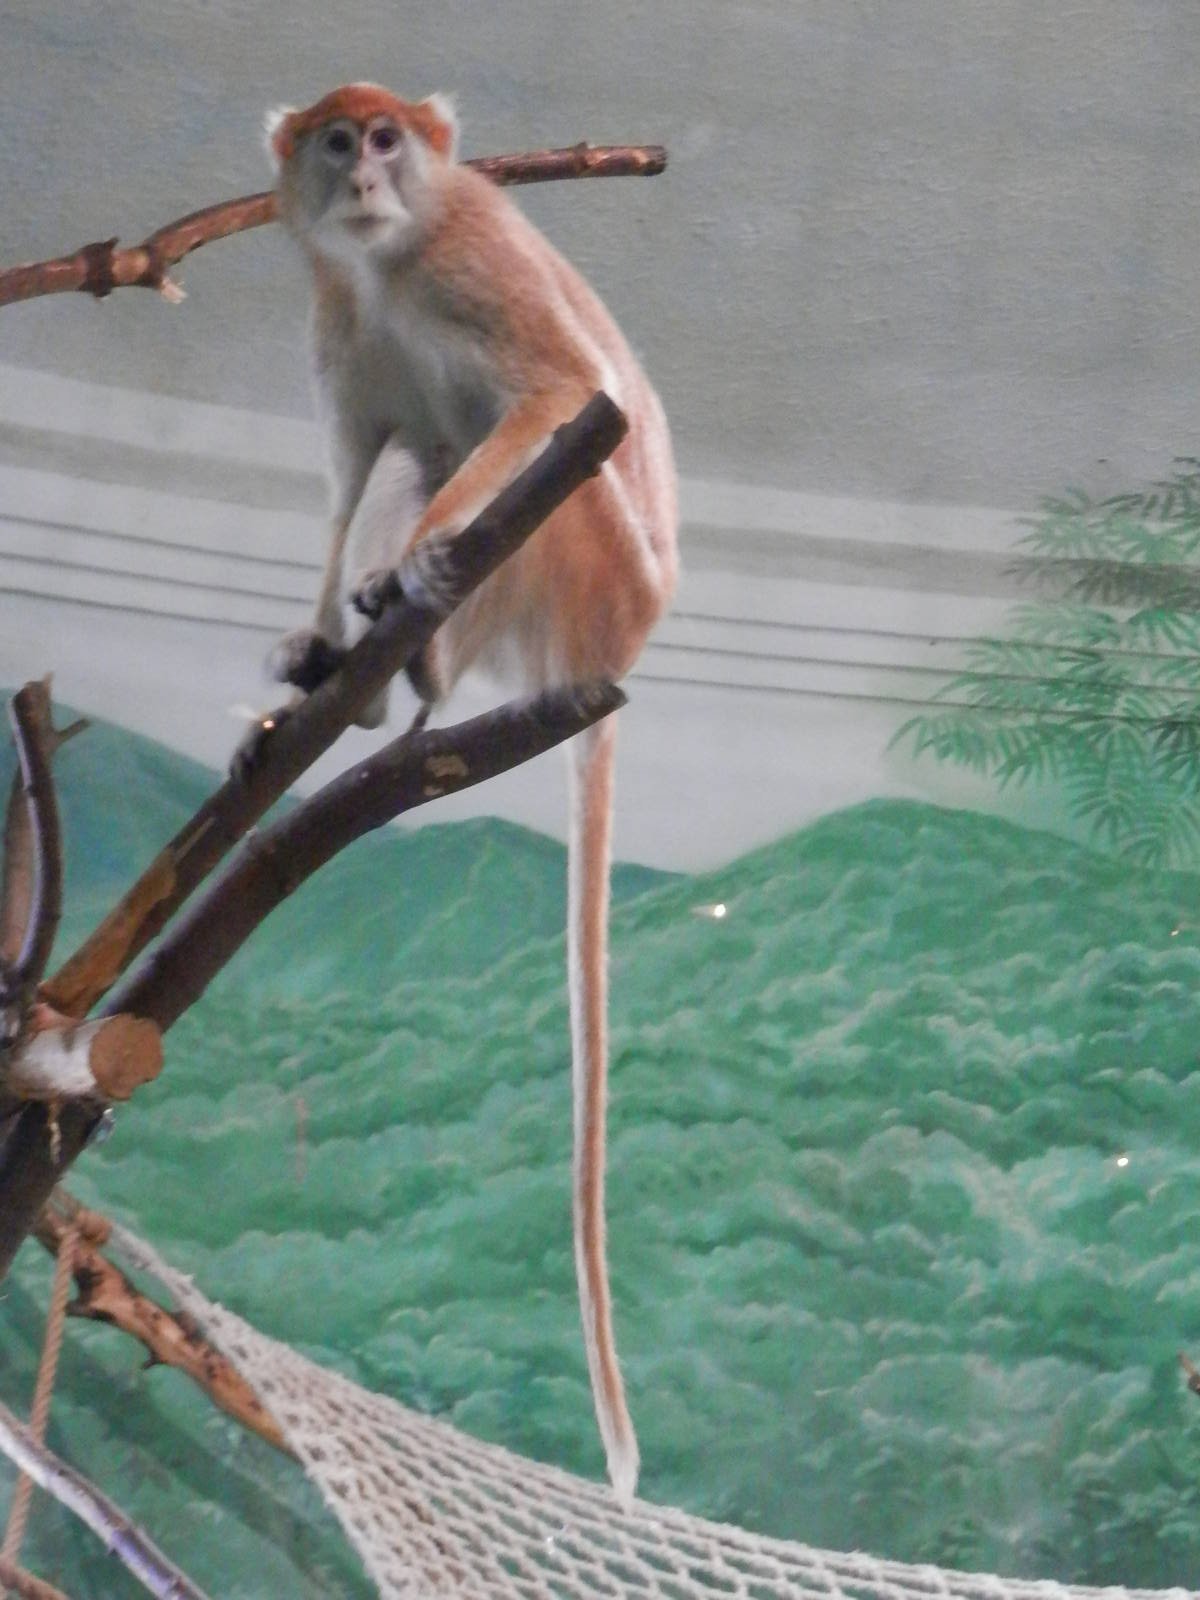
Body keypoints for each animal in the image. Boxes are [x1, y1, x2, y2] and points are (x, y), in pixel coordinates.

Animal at [255, 84, 678, 1501]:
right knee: (410, 447)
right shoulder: (340, 310)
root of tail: (615, 652)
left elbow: (557, 393)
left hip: (586, 562)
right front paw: (317, 637)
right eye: (336, 141)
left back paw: (422, 626)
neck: (388, 257)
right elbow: (355, 464)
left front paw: (415, 565)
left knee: (532, 456)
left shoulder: (470, 263)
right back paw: (369, 682)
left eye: (387, 139)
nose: (363, 171)